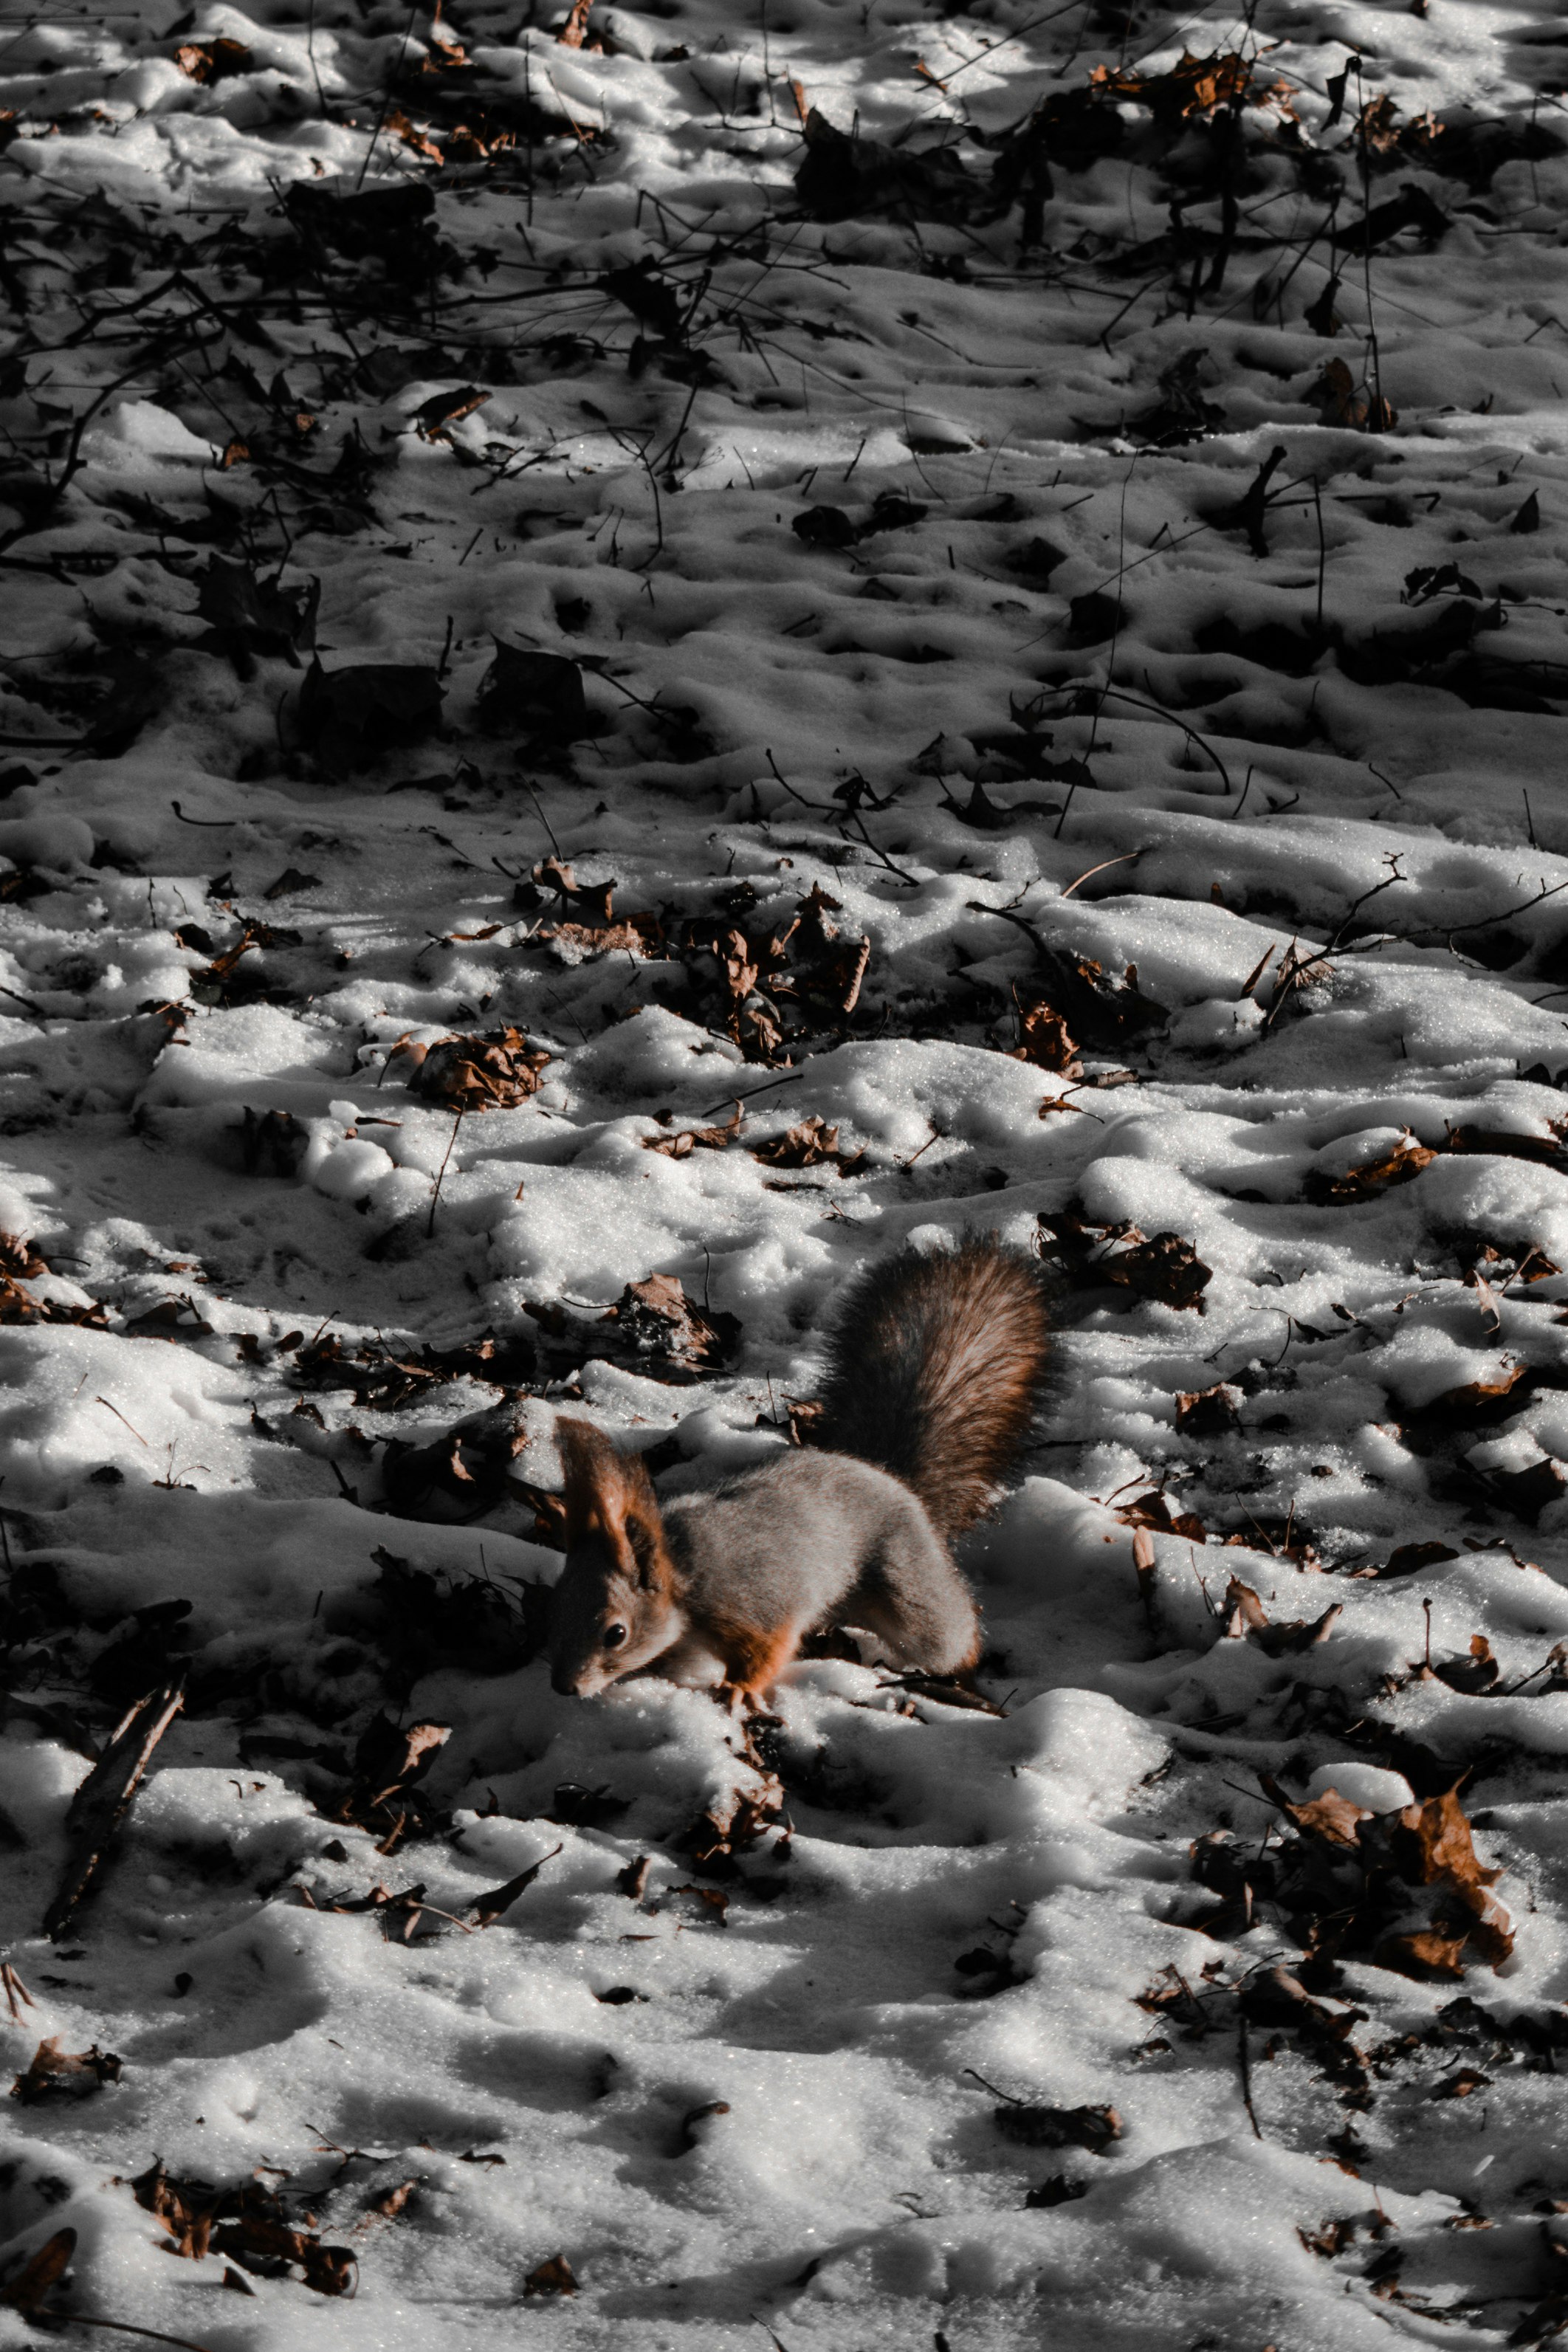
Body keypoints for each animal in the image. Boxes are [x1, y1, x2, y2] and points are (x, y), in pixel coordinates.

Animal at [545, 1232, 1048, 1712]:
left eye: (616, 1633)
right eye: (556, 1605)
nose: (564, 1688)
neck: (685, 1573)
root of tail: (890, 1477)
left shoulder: (756, 1604)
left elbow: (769, 1649)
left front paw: (739, 1689)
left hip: (906, 1582)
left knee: (944, 1634)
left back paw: (959, 1677)